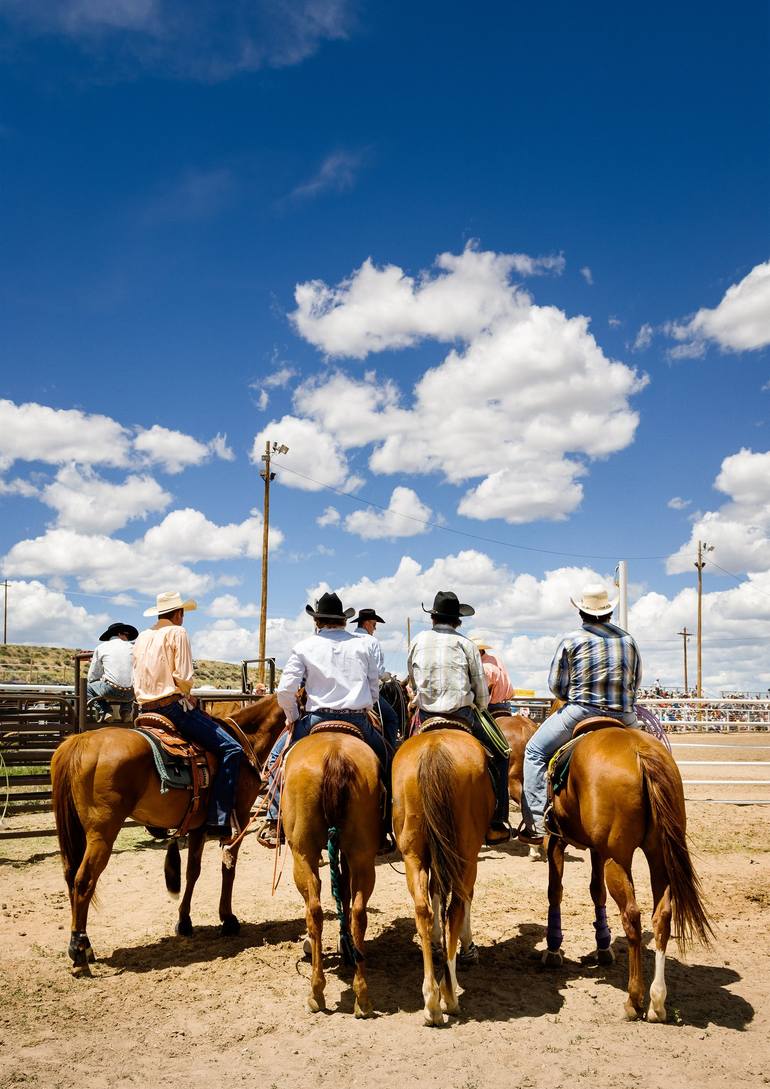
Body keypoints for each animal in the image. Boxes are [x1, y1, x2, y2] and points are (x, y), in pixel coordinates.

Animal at [50, 696, 285, 980]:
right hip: (101, 834)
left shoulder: (198, 827)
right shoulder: (237, 819)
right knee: (83, 881)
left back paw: (87, 948)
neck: (246, 737)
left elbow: (192, 872)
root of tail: (80, 741)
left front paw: (184, 921)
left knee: (70, 876)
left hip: (77, 831)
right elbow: (228, 869)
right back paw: (78, 952)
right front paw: (228, 919)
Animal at [280, 731, 381, 1019]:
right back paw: (362, 997)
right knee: (358, 912)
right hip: (361, 853)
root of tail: (334, 756)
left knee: (313, 910)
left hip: (302, 853)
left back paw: (316, 992)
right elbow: (344, 892)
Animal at [392, 727, 494, 1023]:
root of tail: (433, 750)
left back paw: (431, 1000)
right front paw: (468, 947)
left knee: (422, 908)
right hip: (466, 853)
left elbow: (436, 891)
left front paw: (437, 940)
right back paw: (448, 994)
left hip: (413, 853)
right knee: (458, 905)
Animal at [542, 723, 710, 1019]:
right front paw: (603, 946)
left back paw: (634, 1000)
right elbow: (596, 892)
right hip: (658, 856)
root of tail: (640, 753)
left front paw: (553, 949)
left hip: (617, 859)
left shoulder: (556, 840)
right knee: (662, 916)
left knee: (632, 916)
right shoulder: (596, 850)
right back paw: (657, 1002)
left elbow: (556, 891)